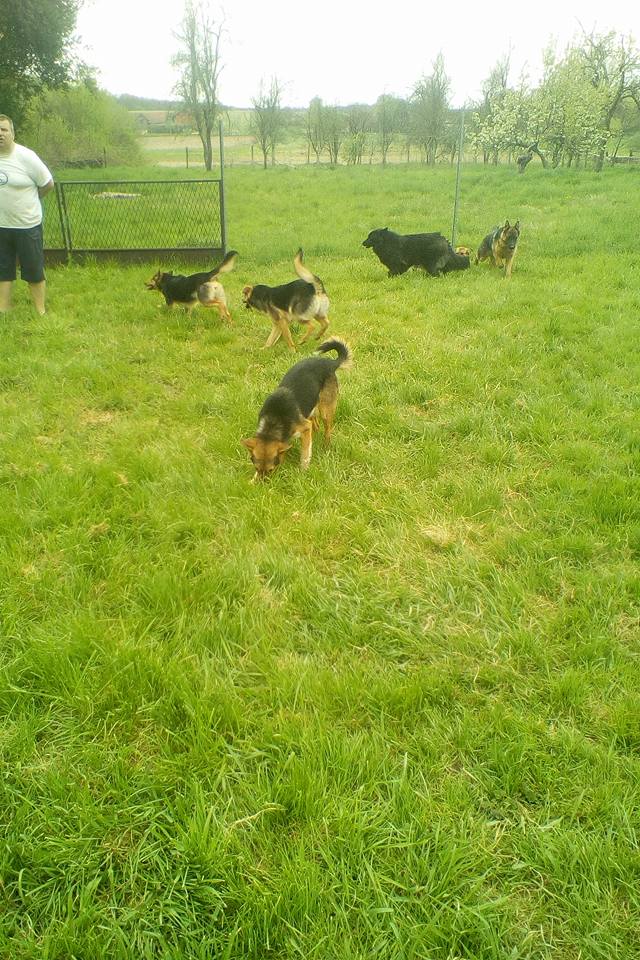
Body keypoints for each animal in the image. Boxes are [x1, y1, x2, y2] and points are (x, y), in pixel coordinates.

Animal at [242, 338, 352, 481]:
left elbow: (305, 453)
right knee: (316, 425)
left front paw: (303, 471)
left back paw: (325, 447)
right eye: (256, 468)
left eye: (271, 470)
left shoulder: (304, 427)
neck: (273, 421)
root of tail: (330, 363)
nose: (264, 483)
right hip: (311, 408)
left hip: (325, 411)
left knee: (327, 430)